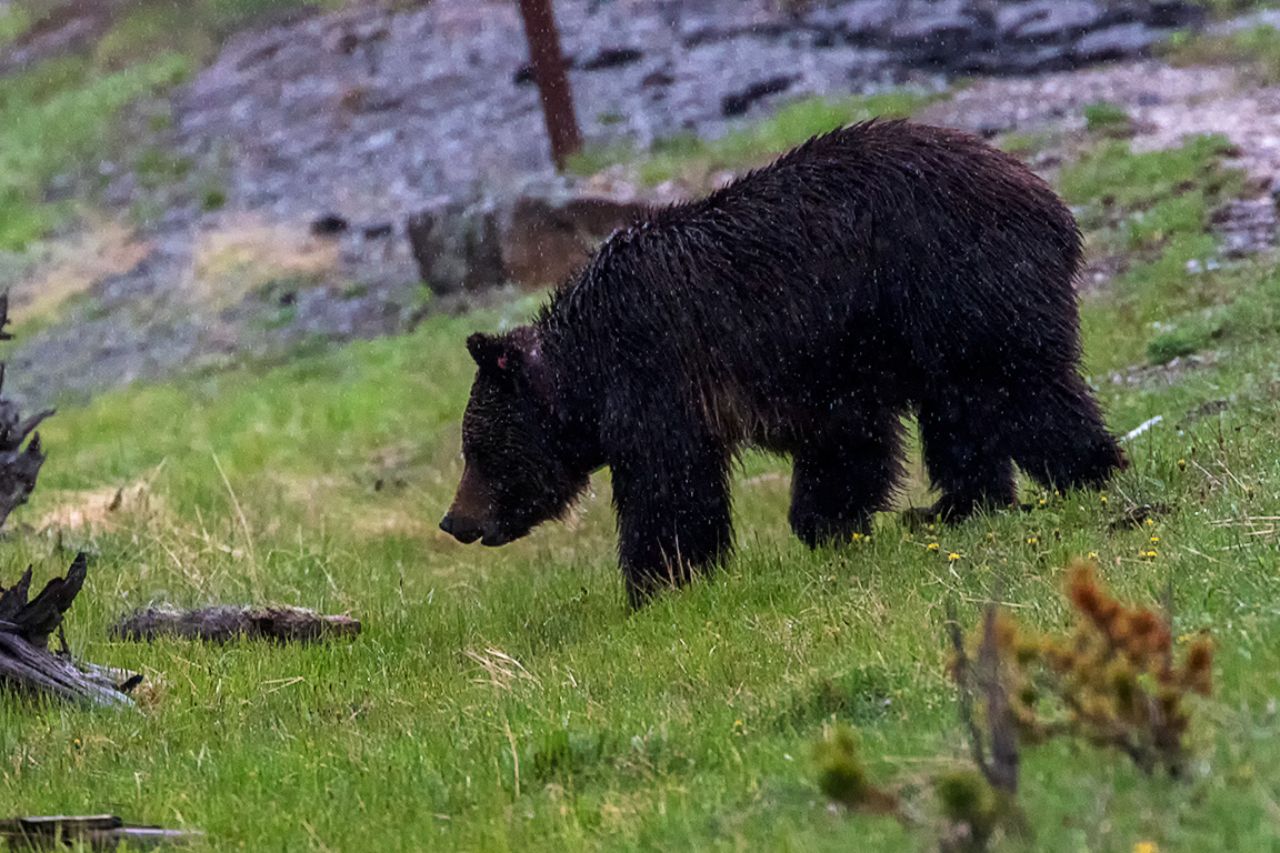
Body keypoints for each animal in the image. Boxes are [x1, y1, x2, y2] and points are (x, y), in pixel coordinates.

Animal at [440, 118, 1126, 607]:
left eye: (478, 449)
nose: (455, 521)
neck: (587, 364)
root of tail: (1049, 199)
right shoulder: (827, 370)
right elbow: (844, 444)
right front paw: (828, 524)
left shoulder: (658, 366)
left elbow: (668, 483)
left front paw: (655, 582)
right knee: (960, 411)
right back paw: (954, 506)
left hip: (956, 281)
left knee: (1017, 386)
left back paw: (1090, 469)